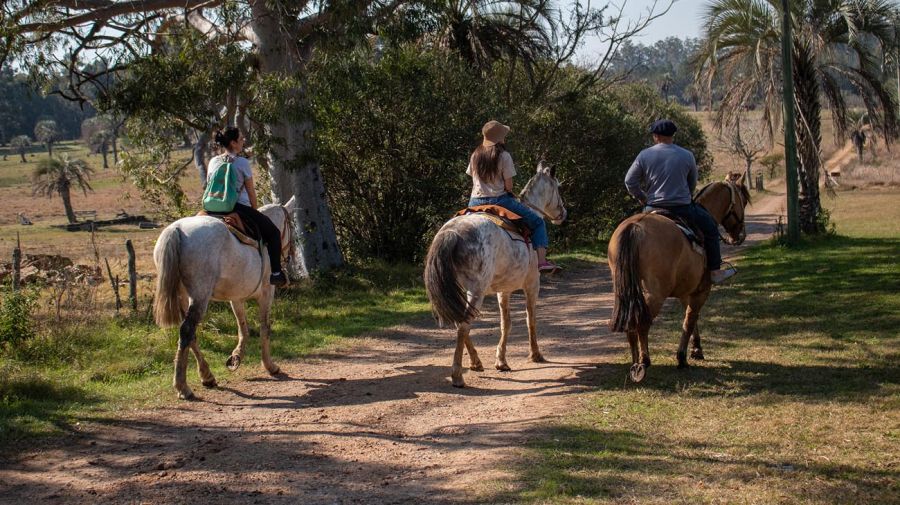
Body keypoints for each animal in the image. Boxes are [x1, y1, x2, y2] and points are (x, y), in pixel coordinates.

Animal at [153, 197, 296, 398]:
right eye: (291, 225)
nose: (291, 255)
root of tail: (177, 230)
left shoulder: (236, 298)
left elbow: (243, 329)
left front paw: (236, 357)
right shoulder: (267, 293)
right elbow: (264, 328)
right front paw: (270, 366)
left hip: (183, 297)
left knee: (189, 334)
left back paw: (207, 376)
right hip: (200, 296)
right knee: (187, 330)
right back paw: (183, 387)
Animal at [424, 161, 568, 386]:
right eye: (558, 188)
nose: (563, 214)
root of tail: (452, 232)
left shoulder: (504, 290)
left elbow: (505, 323)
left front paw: (501, 360)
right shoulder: (532, 284)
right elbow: (530, 319)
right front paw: (535, 354)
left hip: (460, 290)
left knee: (460, 321)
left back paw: (475, 361)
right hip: (477, 290)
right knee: (464, 324)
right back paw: (457, 375)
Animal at [604, 175, 752, 380]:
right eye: (743, 201)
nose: (740, 235)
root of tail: (635, 226)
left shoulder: (686, 291)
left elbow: (691, 318)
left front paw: (696, 349)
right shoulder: (701, 291)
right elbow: (689, 321)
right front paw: (682, 357)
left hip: (625, 290)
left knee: (631, 319)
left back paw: (635, 360)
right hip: (655, 294)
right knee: (642, 322)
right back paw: (643, 363)